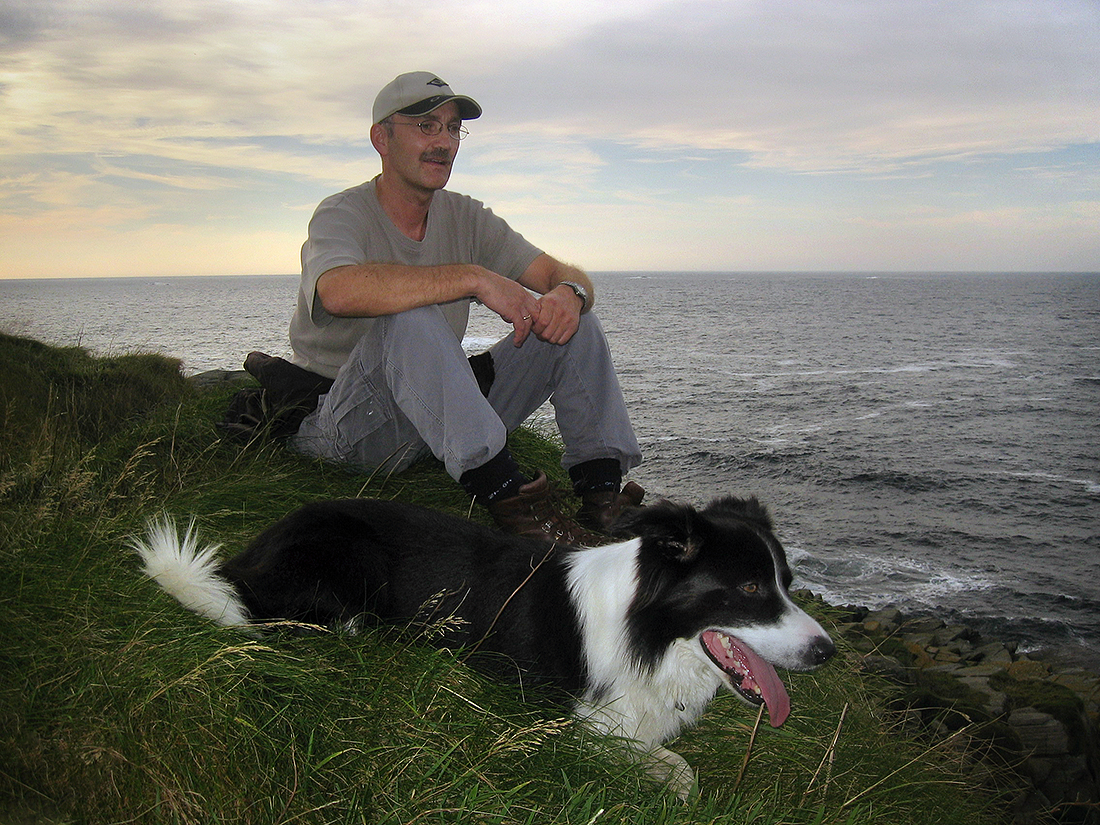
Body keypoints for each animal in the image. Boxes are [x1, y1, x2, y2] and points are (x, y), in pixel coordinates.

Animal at [130, 495, 831, 796]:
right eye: (748, 588)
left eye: (788, 583)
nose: (826, 651)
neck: (649, 631)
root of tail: (251, 562)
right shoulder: (574, 724)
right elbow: (681, 773)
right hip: (355, 560)